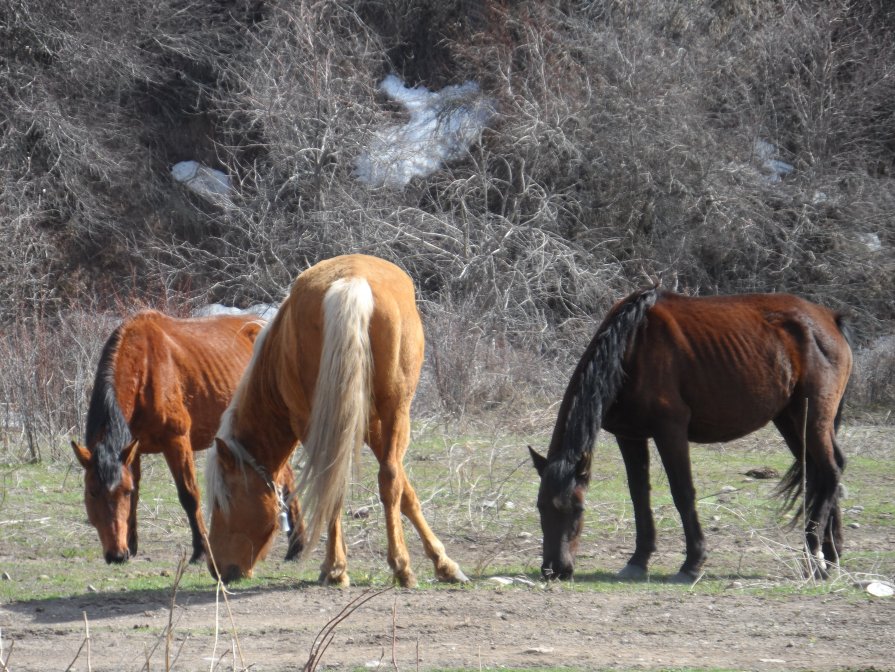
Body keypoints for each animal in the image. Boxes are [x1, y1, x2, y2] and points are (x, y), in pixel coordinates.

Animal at [73, 312, 304, 564]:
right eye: (92, 492)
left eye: (123, 491)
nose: (116, 555)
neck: (146, 368)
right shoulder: (132, 450)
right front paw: (132, 546)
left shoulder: (176, 441)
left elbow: (189, 495)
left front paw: (201, 551)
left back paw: (296, 547)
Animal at [204, 255, 468, 584]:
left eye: (222, 502)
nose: (216, 568)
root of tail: (351, 283)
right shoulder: (370, 424)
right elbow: (403, 488)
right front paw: (442, 563)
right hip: (394, 409)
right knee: (383, 477)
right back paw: (395, 566)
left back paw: (339, 568)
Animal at [532, 288, 856, 584]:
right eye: (540, 507)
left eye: (577, 508)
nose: (554, 569)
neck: (631, 346)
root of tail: (829, 318)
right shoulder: (630, 437)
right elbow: (639, 495)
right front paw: (638, 561)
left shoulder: (670, 431)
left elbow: (683, 493)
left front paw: (693, 562)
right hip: (790, 420)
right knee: (821, 473)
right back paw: (831, 553)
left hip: (812, 418)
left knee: (829, 471)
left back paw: (815, 559)